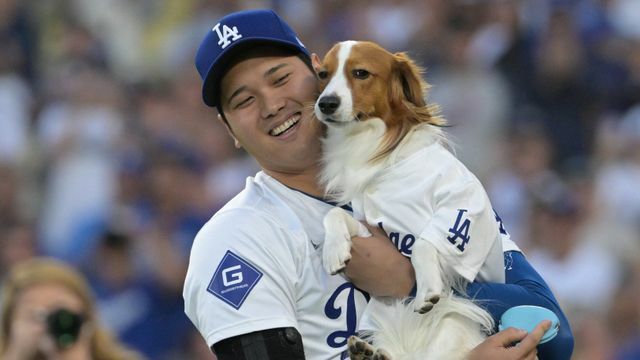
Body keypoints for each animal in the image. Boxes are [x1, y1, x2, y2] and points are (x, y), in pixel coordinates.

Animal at [312, 40, 508, 358]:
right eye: (322, 74)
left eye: (360, 73)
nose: (326, 103)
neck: (379, 156)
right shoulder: (369, 227)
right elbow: (335, 214)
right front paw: (334, 250)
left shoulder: (464, 203)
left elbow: (424, 244)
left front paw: (427, 290)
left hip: (451, 330)